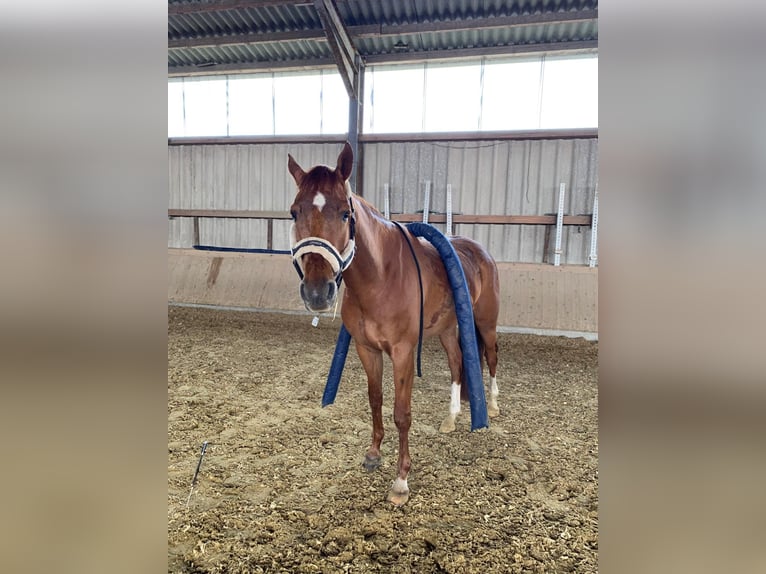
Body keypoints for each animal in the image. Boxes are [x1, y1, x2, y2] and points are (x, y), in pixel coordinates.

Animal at [292, 142, 500, 506]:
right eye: (293, 212)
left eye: (344, 214)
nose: (318, 291)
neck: (381, 277)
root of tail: (480, 252)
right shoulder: (367, 349)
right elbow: (375, 399)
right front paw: (374, 453)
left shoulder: (403, 352)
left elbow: (402, 413)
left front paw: (401, 480)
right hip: (447, 330)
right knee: (457, 363)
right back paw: (451, 417)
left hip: (487, 324)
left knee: (490, 357)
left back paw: (495, 404)